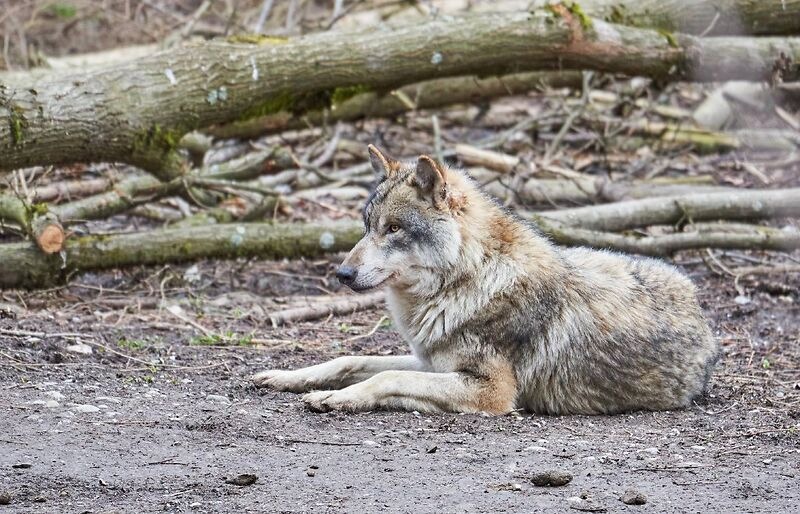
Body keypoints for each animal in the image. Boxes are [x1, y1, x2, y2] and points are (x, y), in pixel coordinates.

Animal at [253, 143, 716, 412]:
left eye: (394, 229)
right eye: (367, 226)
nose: (342, 273)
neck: (465, 281)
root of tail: (702, 309)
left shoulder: (491, 391)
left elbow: (385, 377)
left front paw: (333, 399)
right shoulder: (430, 361)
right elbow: (352, 360)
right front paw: (287, 377)